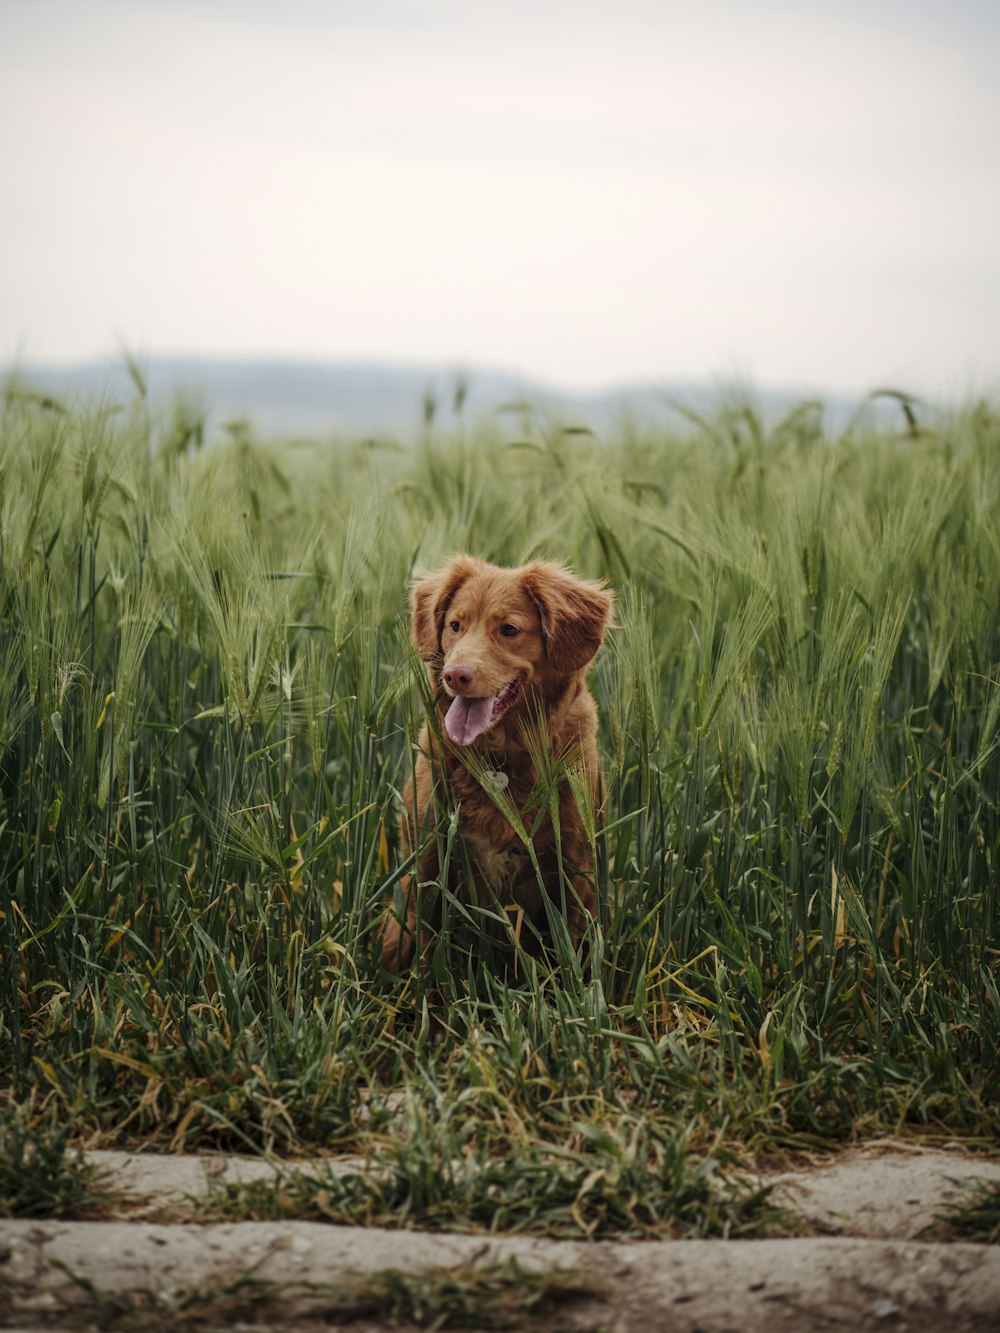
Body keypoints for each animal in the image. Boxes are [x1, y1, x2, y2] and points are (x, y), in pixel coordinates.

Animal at [378, 551, 616, 970]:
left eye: (508, 629)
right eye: (455, 625)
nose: (455, 675)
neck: (498, 761)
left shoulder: (574, 867)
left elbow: (571, 947)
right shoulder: (425, 859)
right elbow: (418, 942)